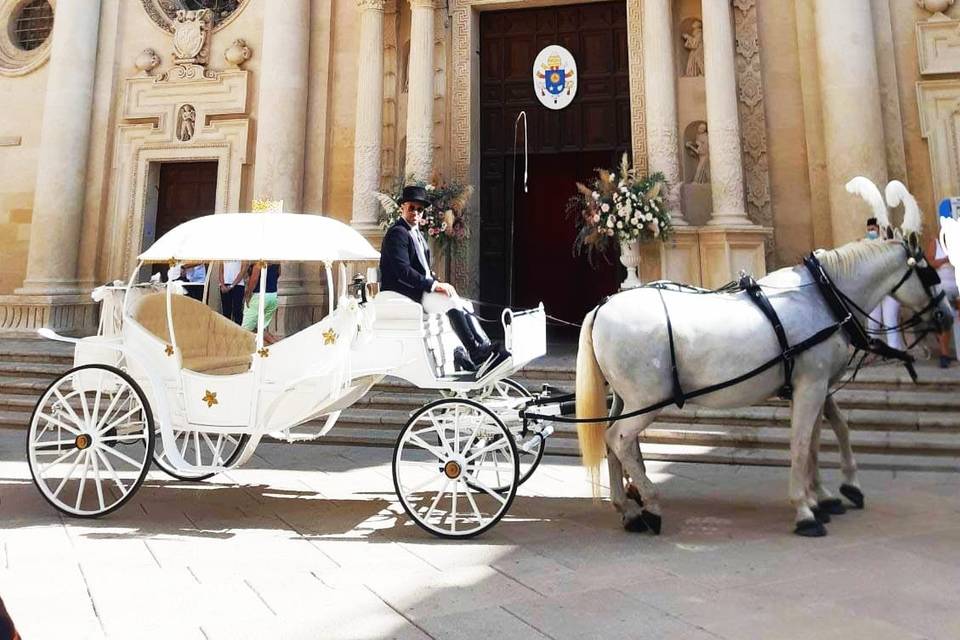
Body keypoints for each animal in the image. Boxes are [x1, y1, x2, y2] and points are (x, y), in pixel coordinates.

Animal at [572, 179, 948, 536]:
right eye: (930, 272)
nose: (946, 315)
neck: (823, 295)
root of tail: (602, 307)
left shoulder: (815, 383)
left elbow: (824, 435)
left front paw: (828, 494)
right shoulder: (812, 384)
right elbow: (802, 443)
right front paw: (806, 510)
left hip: (626, 398)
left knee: (613, 441)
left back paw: (627, 507)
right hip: (647, 399)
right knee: (619, 439)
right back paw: (649, 504)